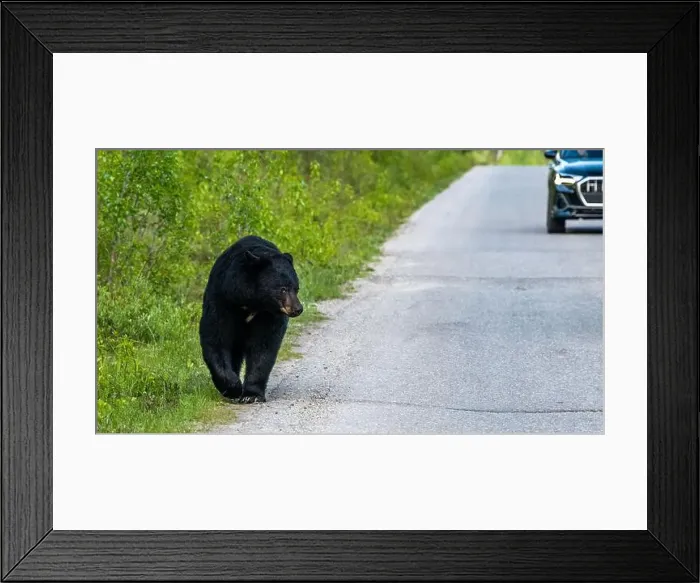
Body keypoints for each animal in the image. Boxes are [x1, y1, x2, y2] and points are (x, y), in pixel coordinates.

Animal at [199, 235, 303, 404]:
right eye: (283, 289)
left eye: (296, 288)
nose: (298, 308)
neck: (252, 302)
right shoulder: (222, 300)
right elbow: (216, 337)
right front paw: (233, 387)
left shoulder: (267, 315)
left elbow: (263, 346)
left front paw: (251, 394)